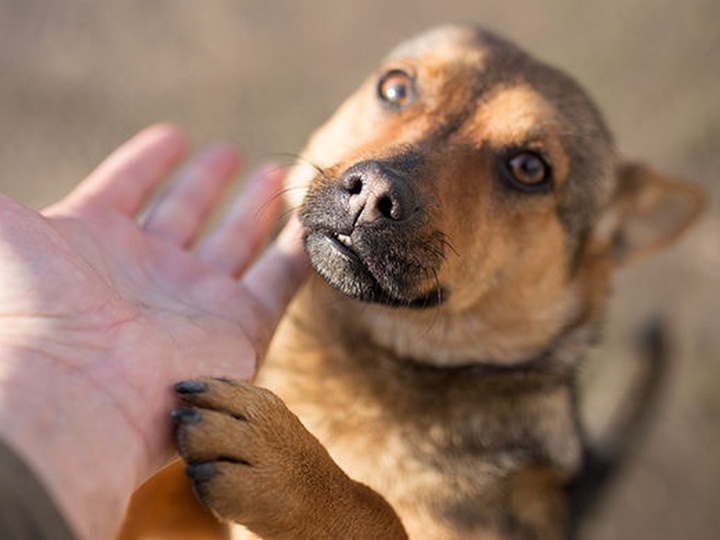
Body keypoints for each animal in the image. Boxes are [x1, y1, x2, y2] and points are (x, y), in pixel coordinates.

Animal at [118, 25, 704, 540]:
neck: (354, 362)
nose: (375, 191)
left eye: (528, 168)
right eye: (395, 87)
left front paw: (293, 472)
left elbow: (378, 515)